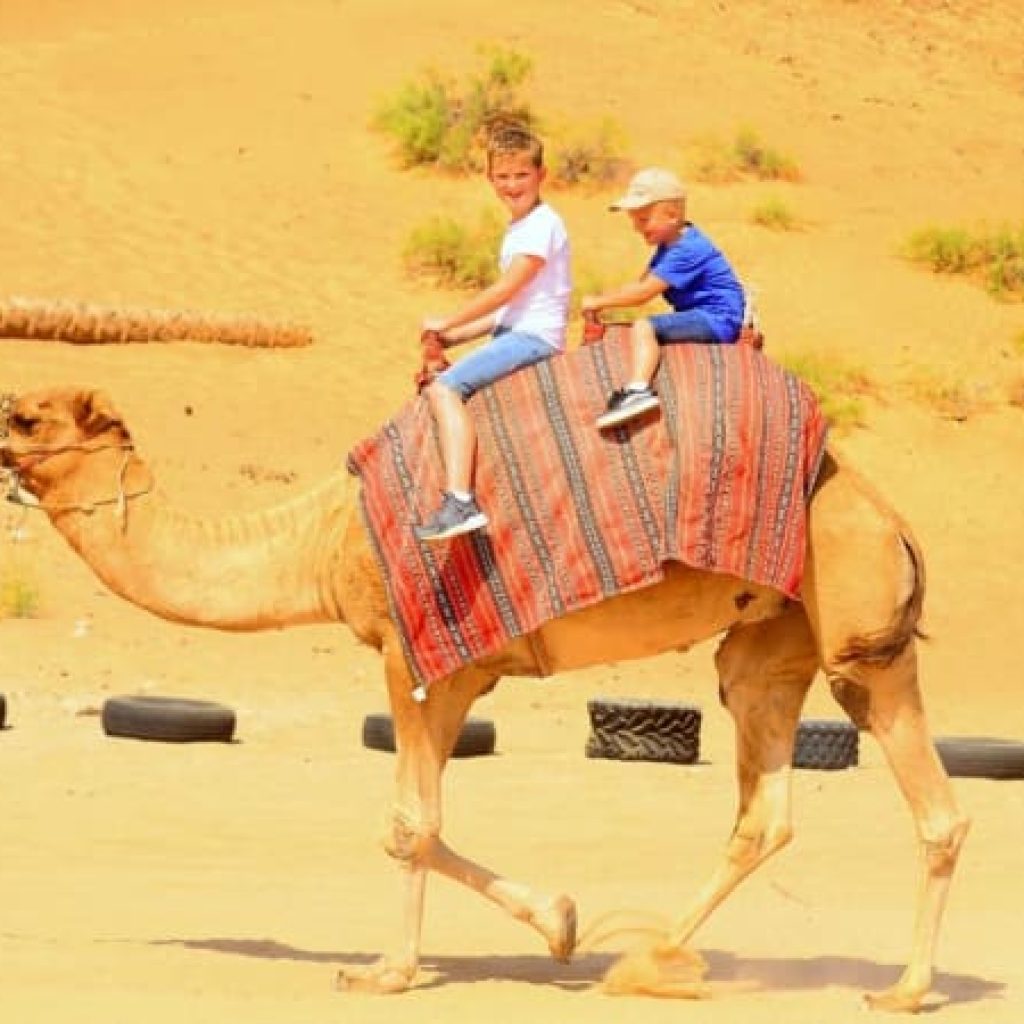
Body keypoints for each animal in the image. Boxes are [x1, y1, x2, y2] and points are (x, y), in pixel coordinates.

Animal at [0, 385, 968, 1012]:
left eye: (27, 414)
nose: (1, 436)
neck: (321, 539)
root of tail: (898, 522)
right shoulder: (463, 672)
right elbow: (424, 827)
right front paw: (561, 923)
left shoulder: (410, 654)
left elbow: (408, 826)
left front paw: (384, 972)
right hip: (772, 642)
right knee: (762, 807)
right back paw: (647, 962)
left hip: (858, 630)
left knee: (937, 807)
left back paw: (905, 988)